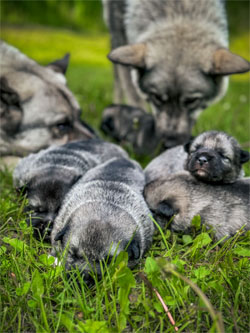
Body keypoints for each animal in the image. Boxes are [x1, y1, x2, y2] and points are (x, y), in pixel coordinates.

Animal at [102, 0, 249, 152]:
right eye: (157, 97)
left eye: (191, 100)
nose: (170, 144)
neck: (179, 9)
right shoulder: (119, 33)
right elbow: (135, 99)